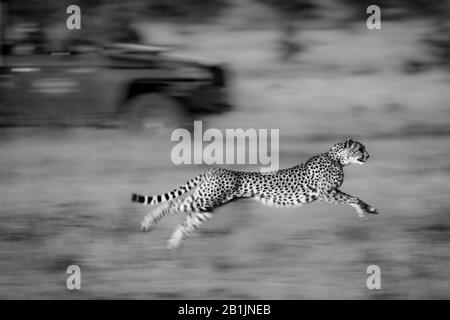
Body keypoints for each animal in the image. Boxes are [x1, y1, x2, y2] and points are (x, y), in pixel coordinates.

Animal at [132, 139, 378, 249]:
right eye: (360, 149)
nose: (369, 156)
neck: (336, 158)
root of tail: (214, 169)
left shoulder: (330, 193)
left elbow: (356, 198)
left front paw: (370, 209)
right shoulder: (327, 193)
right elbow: (353, 198)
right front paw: (363, 212)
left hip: (207, 205)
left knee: (186, 221)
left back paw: (172, 245)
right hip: (205, 198)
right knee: (172, 204)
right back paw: (147, 223)